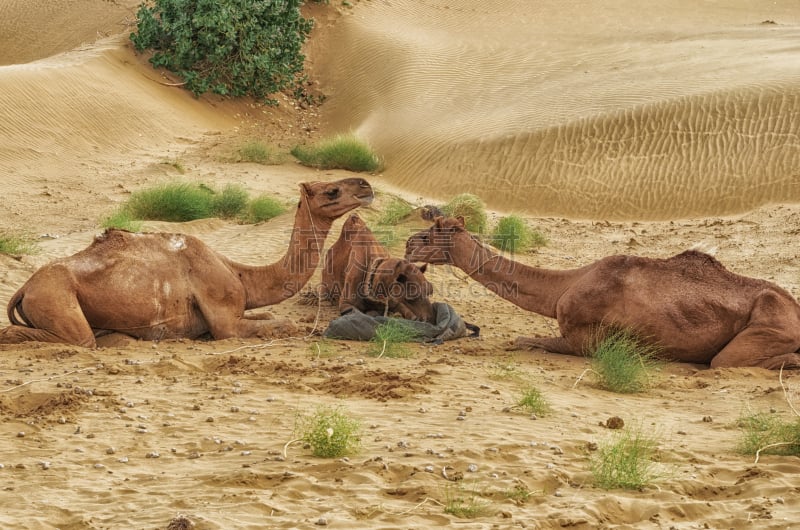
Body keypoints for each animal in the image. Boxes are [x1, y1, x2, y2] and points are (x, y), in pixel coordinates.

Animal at [0, 176, 376, 346]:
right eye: (332, 191)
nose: (366, 186)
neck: (241, 274)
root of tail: (24, 288)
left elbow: (270, 316)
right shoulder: (224, 320)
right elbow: (281, 324)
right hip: (55, 299)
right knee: (70, 338)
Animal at [406, 214, 800, 368]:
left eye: (431, 232)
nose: (409, 244)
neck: (563, 288)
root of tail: (794, 308)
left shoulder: (588, 340)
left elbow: (522, 340)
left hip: (768, 325)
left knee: (725, 360)